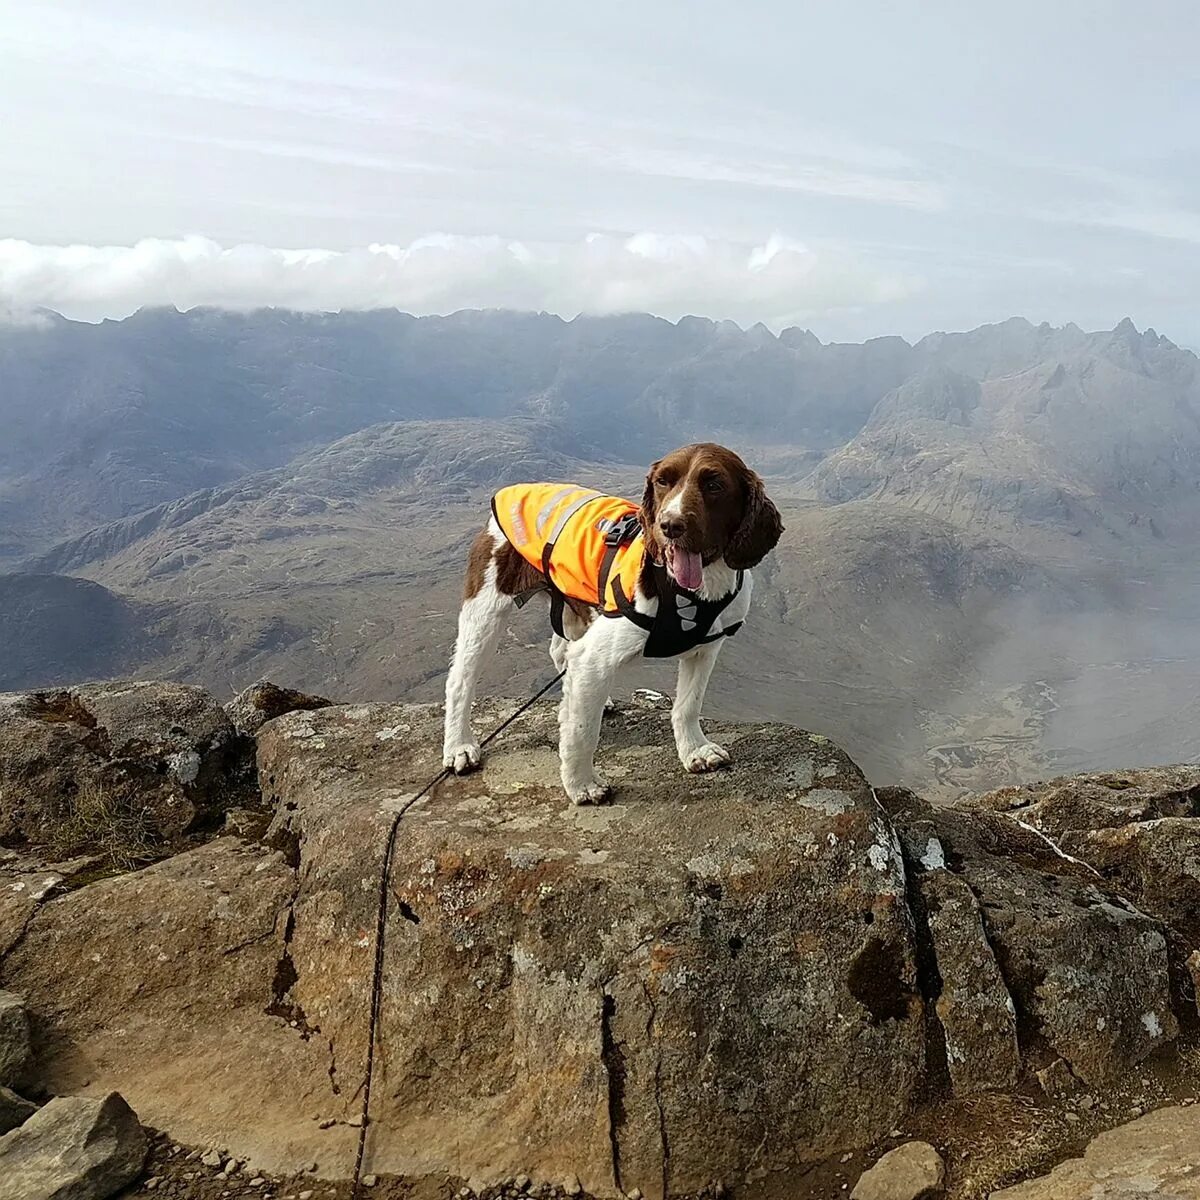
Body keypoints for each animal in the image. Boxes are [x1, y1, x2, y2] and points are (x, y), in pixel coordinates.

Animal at [446, 444, 782, 806]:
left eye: (714, 484)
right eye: (663, 482)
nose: (669, 525)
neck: (695, 590)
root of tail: (515, 489)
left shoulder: (705, 649)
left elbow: (688, 705)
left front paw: (695, 750)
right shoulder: (594, 656)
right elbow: (583, 731)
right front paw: (582, 784)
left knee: (560, 649)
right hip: (486, 610)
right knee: (461, 680)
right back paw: (459, 746)